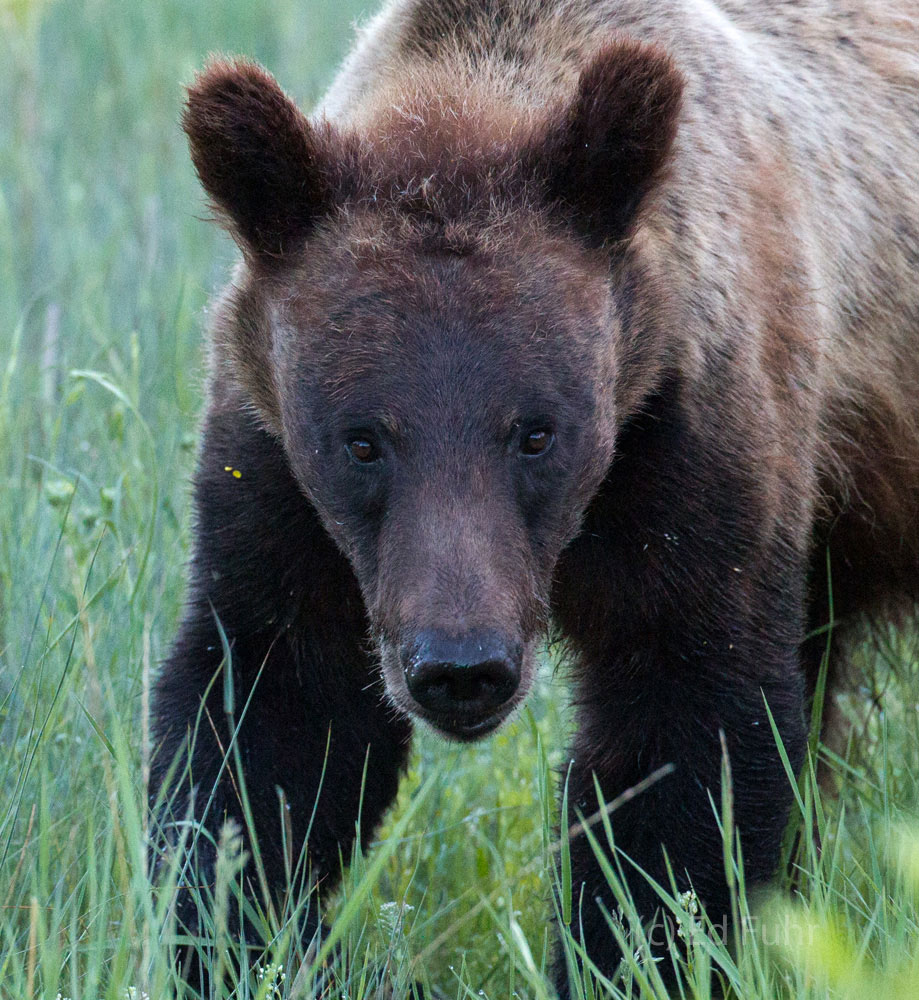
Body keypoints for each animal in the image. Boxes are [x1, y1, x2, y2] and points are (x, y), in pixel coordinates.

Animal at [149, 0, 919, 988]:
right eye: (362, 439)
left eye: (535, 431)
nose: (460, 667)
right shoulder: (277, 473)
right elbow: (267, 719)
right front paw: (250, 944)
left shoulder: (699, 440)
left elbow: (681, 737)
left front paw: (630, 955)